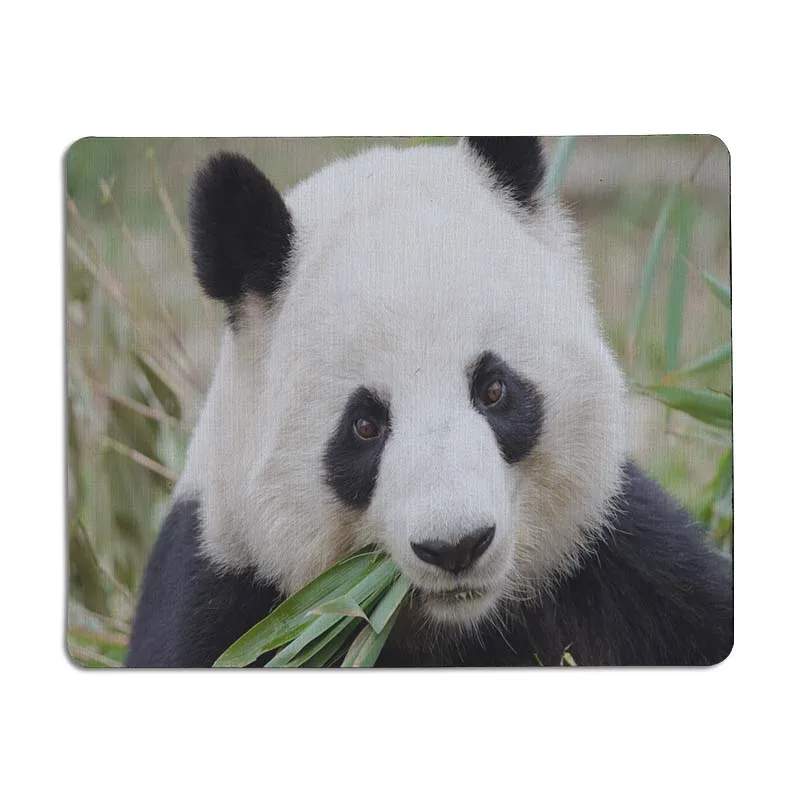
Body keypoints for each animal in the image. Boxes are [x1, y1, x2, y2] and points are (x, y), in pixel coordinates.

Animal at [126, 136, 733, 668]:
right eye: (365, 426)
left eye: (494, 389)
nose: (457, 546)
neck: (461, 626)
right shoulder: (230, 598)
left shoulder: (622, 563)